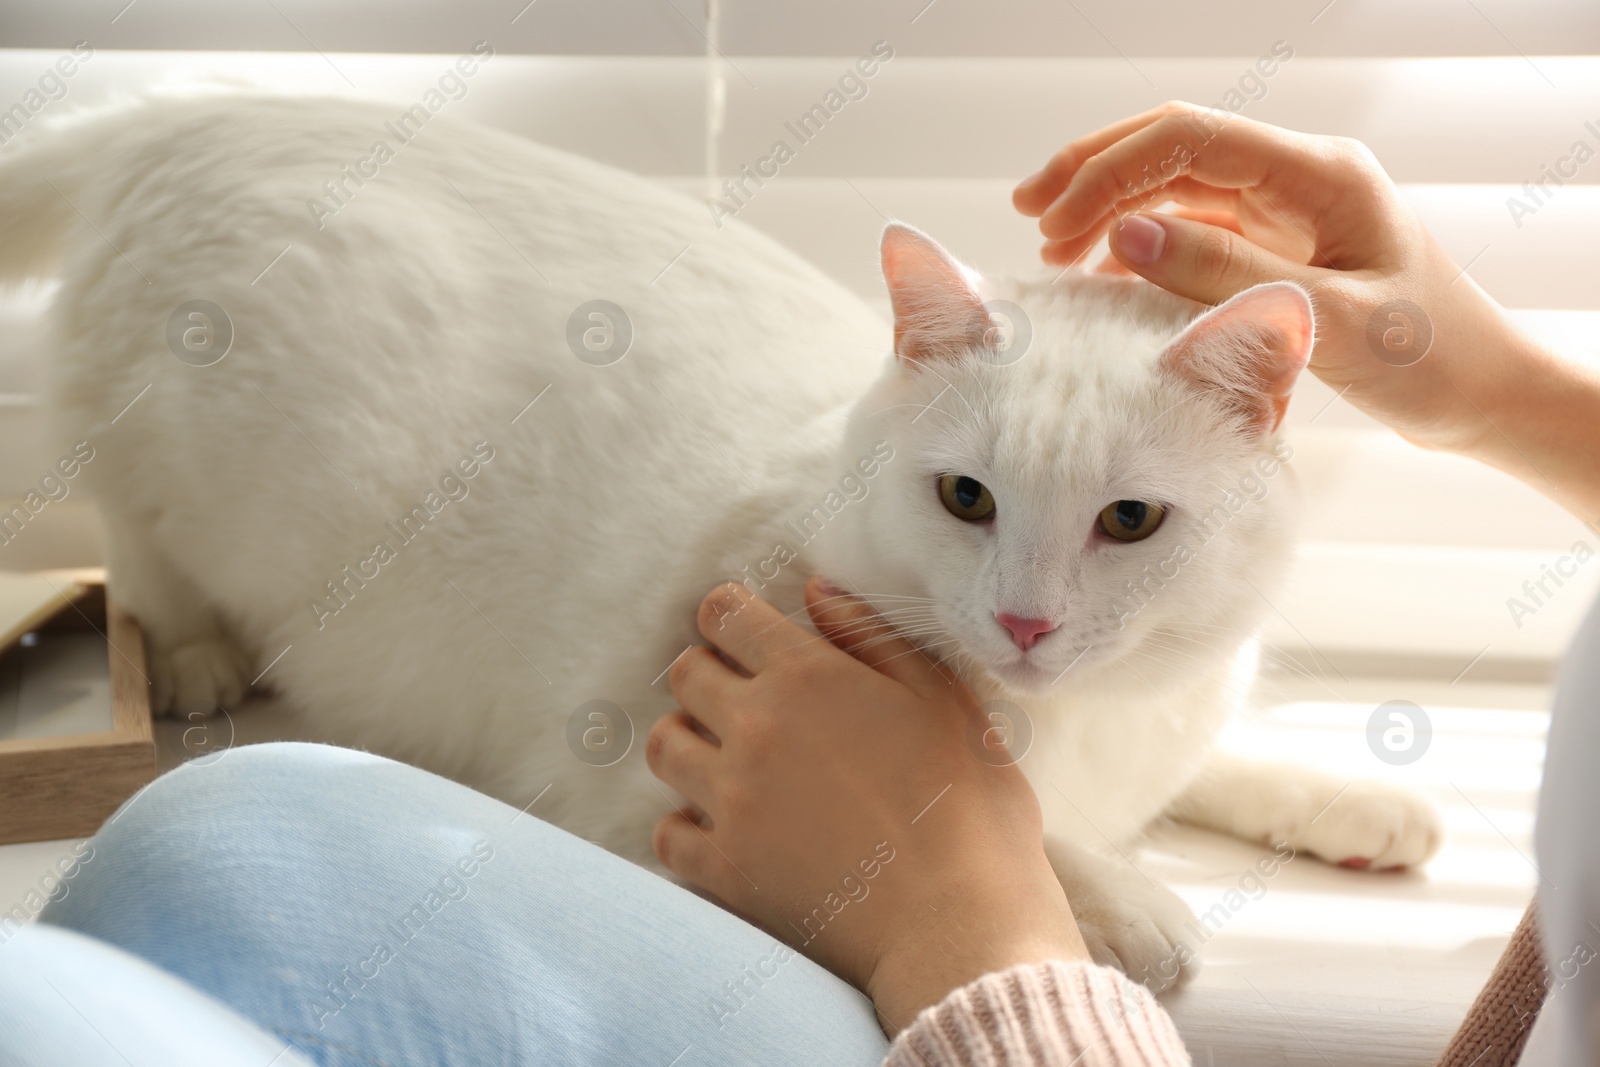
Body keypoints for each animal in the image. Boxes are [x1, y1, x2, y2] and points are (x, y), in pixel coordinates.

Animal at [0, 91, 1446, 991]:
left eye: (1129, 520)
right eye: (965, 498)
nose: (1024, 620)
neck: (1081, 721)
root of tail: (184, 109)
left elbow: (1199, 767)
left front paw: (1349, 799)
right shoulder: (646, 799)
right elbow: (1028, 825)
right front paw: (1127, 899)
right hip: (166, 453)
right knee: (127, 525)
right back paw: (190, 656)